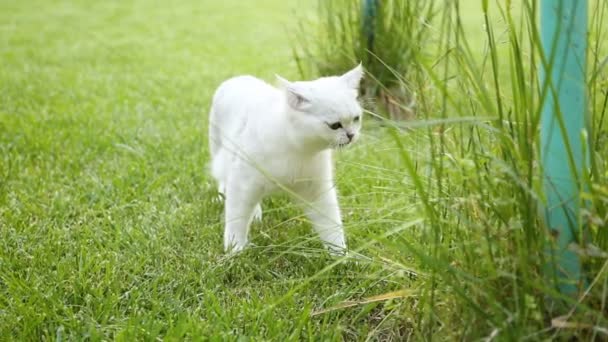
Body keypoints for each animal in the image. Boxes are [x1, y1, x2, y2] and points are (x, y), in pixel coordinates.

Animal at [207, 64, 364, 254]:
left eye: (356, 119)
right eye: (335, 125)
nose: (351, 135)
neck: (296, 149)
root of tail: (238, 78)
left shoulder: (318, 192)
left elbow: (331, 225)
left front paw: (340, 254)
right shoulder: (242, 184)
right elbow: (236, 221)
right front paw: (234, 250)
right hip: (219, 151)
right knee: (224, 180)